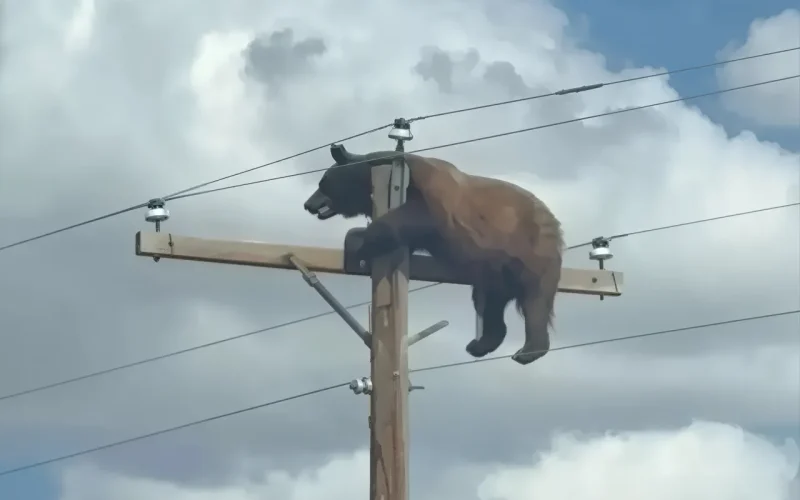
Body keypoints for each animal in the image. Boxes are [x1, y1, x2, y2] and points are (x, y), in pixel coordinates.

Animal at [303, 145, 564, 366]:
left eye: (323, 182)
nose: (308, 204)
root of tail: (554, 222)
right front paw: (358, 239)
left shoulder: (430, 193)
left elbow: (415, 216)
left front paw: (364, 242)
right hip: (493, 271)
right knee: (489, 303)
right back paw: (480, 344)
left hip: (530, 249)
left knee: (535, 299)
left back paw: (528, 351)